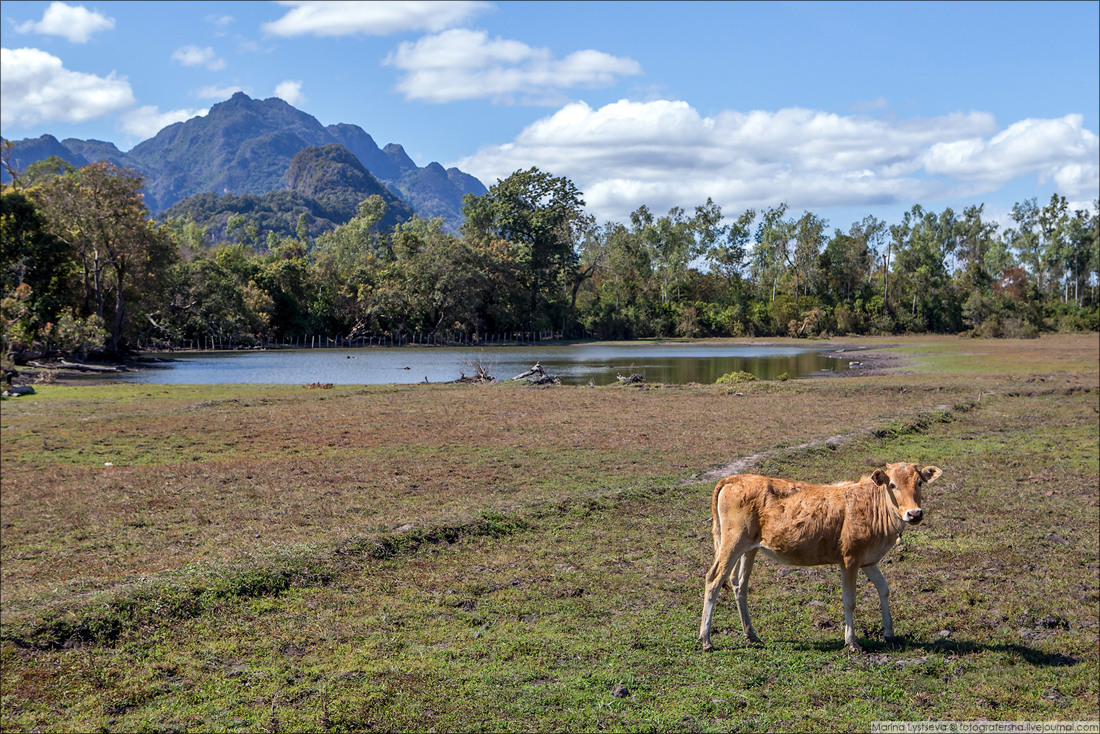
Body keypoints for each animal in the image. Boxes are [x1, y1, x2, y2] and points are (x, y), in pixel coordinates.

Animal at [699, 464, 941, 655]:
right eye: (892, 485)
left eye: (920, 482)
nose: (914, 513)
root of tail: (734, 478)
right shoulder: (850, 559)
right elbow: (850, 600)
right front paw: (852, 642)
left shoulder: (868, 561)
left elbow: (884, 589)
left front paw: (889, 633)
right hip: (733, 542)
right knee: (714, 579)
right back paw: (706, 639)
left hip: (749, 548)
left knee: (739, 583)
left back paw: (751, 634)